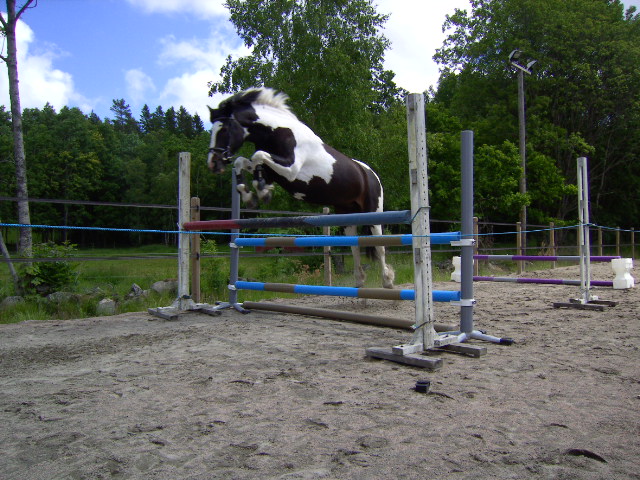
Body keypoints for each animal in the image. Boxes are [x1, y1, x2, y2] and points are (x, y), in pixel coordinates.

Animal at [207, 87, 394, 289]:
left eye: (224, 129)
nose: (213, 163)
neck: (278, 132)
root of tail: (371, 175)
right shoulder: (273, 170)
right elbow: (244, 161)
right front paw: (252, 195)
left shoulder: (291, 170)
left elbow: (257, 156)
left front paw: (263, 191)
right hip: (348, 215)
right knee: (354, 244)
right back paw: (359, 281)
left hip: (373, 212)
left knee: (380, 245)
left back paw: (387, 280)